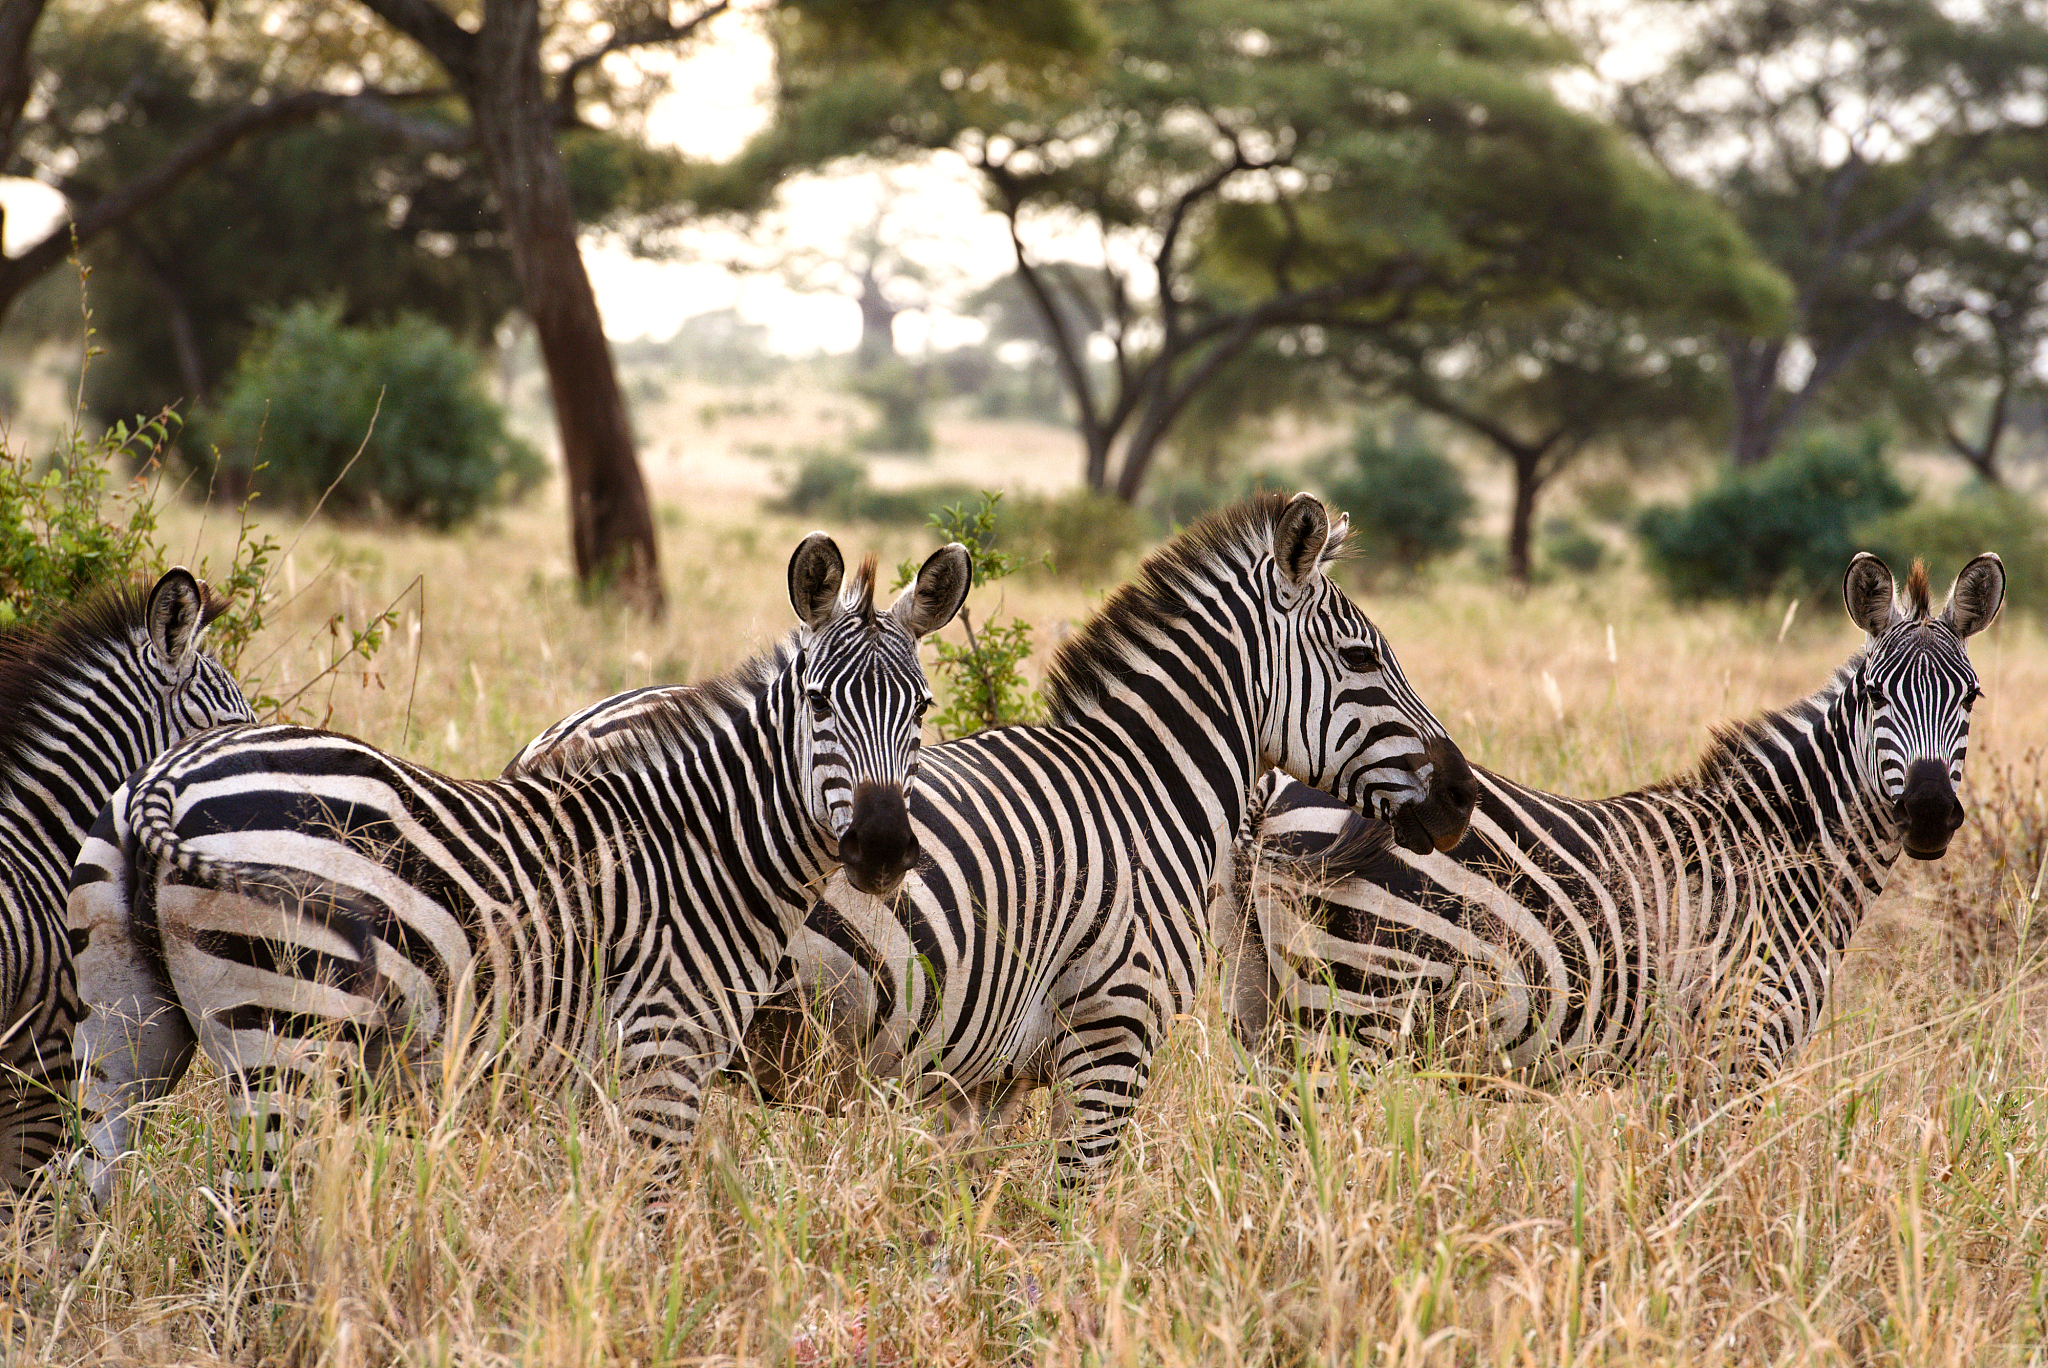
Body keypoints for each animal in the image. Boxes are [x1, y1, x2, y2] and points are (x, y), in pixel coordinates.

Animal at [65, 534, 970, 1208]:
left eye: (922, 708)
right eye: (818, 703)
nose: (883, 849)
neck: (710, 846)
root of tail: (163, 780)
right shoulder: (665, 1059)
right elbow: (646, 1223)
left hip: (120, 1029)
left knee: (83, 1201)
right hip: (288, 1034)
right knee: (243, 1217)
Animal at [511, 492, 1479, 1182]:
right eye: (1362, 660)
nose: (1464, 796)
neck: (1147, 792)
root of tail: (555, 738)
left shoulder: (986, 1084)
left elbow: (975, 1225)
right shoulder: (1111, 1038)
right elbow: (1072, 1217)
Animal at [1219, 552, 2004, 1087]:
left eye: (1972, 697)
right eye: (1874, 696)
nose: (1929, 813)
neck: (1783, 858)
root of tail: (1274, 787)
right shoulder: (1741, 1041)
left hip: (1264, 1005)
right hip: (1357, 1011)